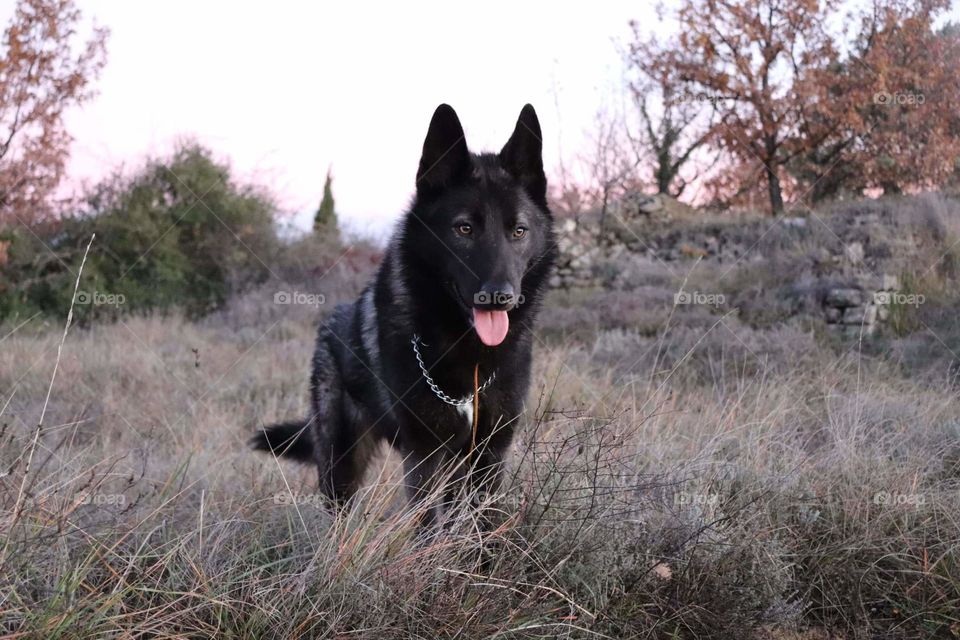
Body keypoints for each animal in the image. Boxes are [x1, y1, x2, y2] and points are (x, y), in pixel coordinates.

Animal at [252, 104, 556, 524]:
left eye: (519, 231)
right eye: (464, 229)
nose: (499, 297)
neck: (467, 354)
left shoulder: (490, 454)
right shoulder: (425, 456)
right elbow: (429, 527)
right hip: (340, 464)